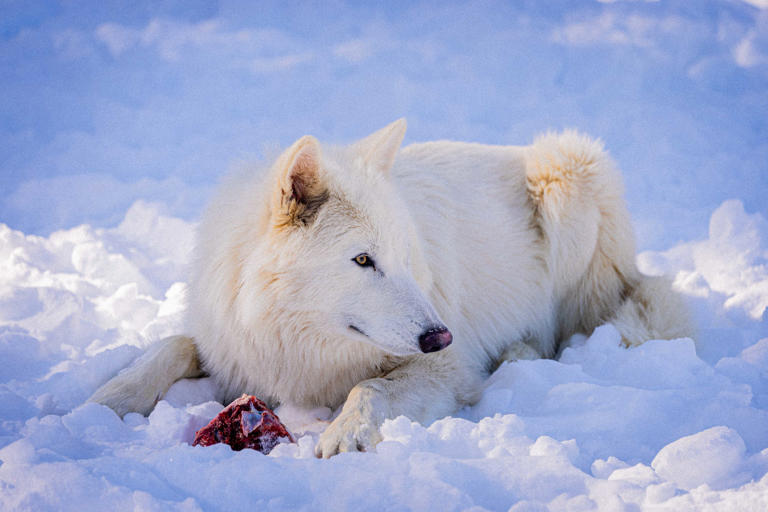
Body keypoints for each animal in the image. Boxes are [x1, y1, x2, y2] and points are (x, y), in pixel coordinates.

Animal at [89, 119, 691, 457]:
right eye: (363, 260)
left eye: (405, 258)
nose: (440, 337)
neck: (294, 338)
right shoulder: (234, 349)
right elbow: (172, 345)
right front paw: (104, 403)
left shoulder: (443, 370)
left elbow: (369, 388)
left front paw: (345, 433)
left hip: (567, 170)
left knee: (568, 330)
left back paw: (518, 352)